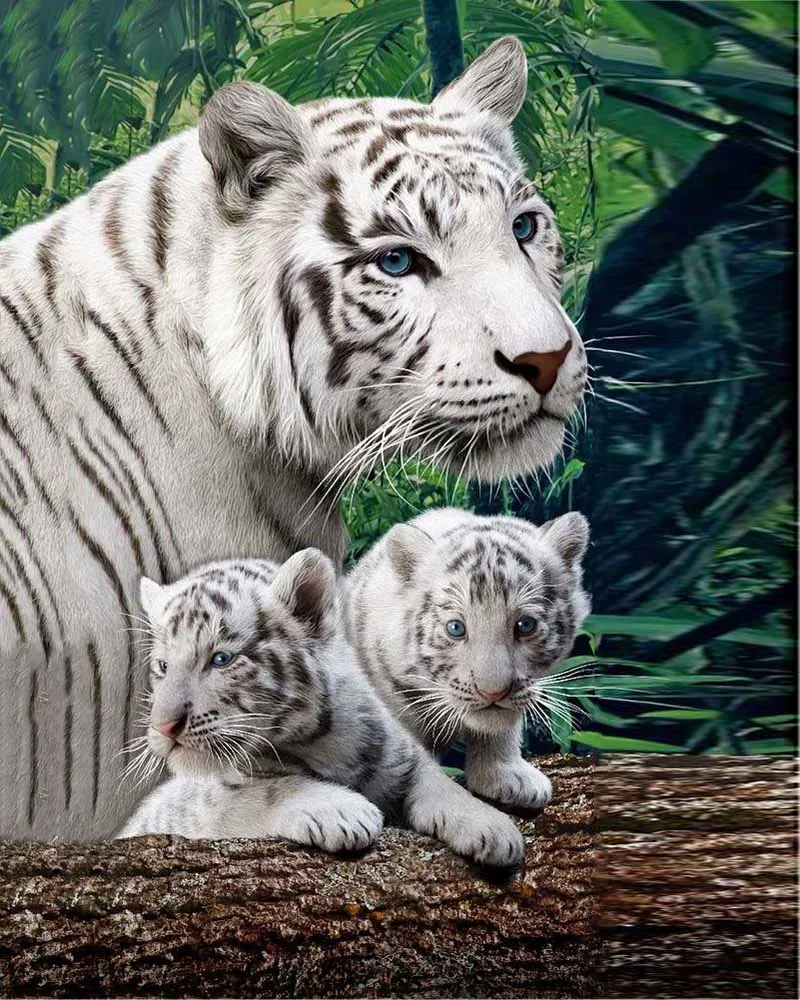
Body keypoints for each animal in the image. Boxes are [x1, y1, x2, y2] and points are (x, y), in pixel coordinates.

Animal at [118, 549, 525, 869]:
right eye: (163, 667)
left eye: (221, 659)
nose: (164, 726)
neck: (319, 741)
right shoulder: (203, 804)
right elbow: (265, 791)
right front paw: (344, 812)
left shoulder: (403, 755)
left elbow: (440, 783)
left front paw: (494, 829)